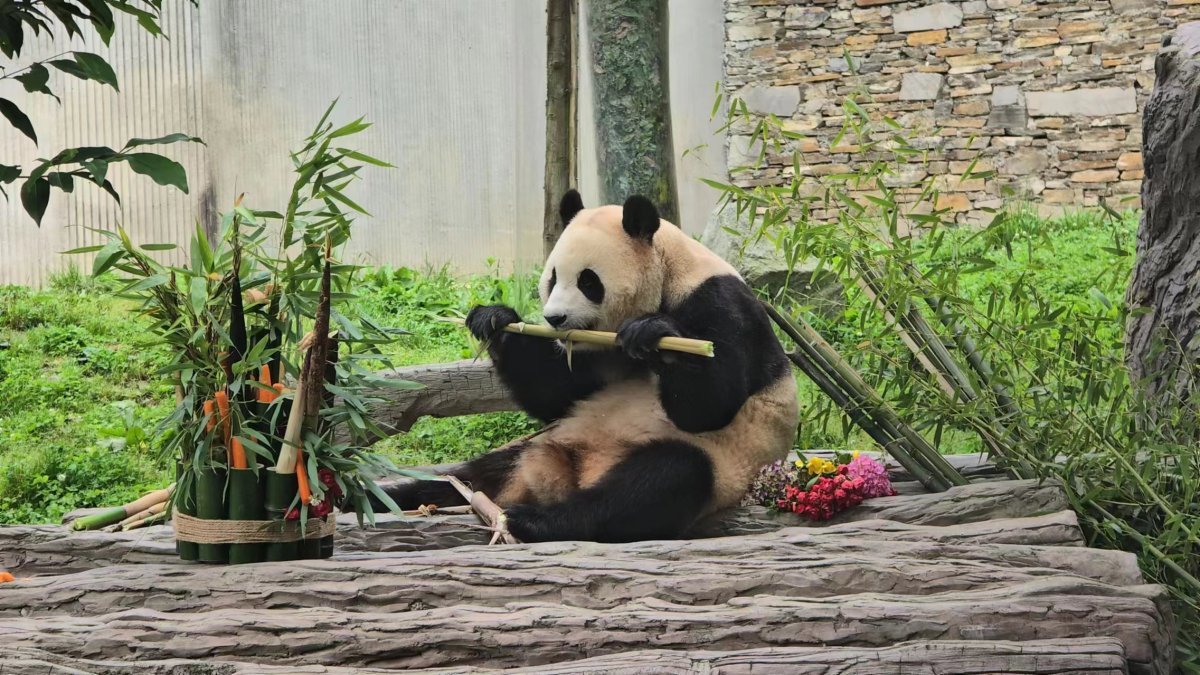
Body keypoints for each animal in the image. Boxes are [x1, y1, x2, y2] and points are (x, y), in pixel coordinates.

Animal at [384, 189, 796, 540]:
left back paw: (535, 521)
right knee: (461, 480)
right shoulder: (596, 353)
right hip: (532, 447)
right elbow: (558, 394)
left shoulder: (720, 303)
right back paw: (383, 498)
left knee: (656, 483)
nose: (554, 319)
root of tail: (571, 473)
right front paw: (496, 321)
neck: (668, 272)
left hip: (718, 463)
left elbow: (711, 404)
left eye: (588, 281)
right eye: (552, 278)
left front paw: (653, 334)